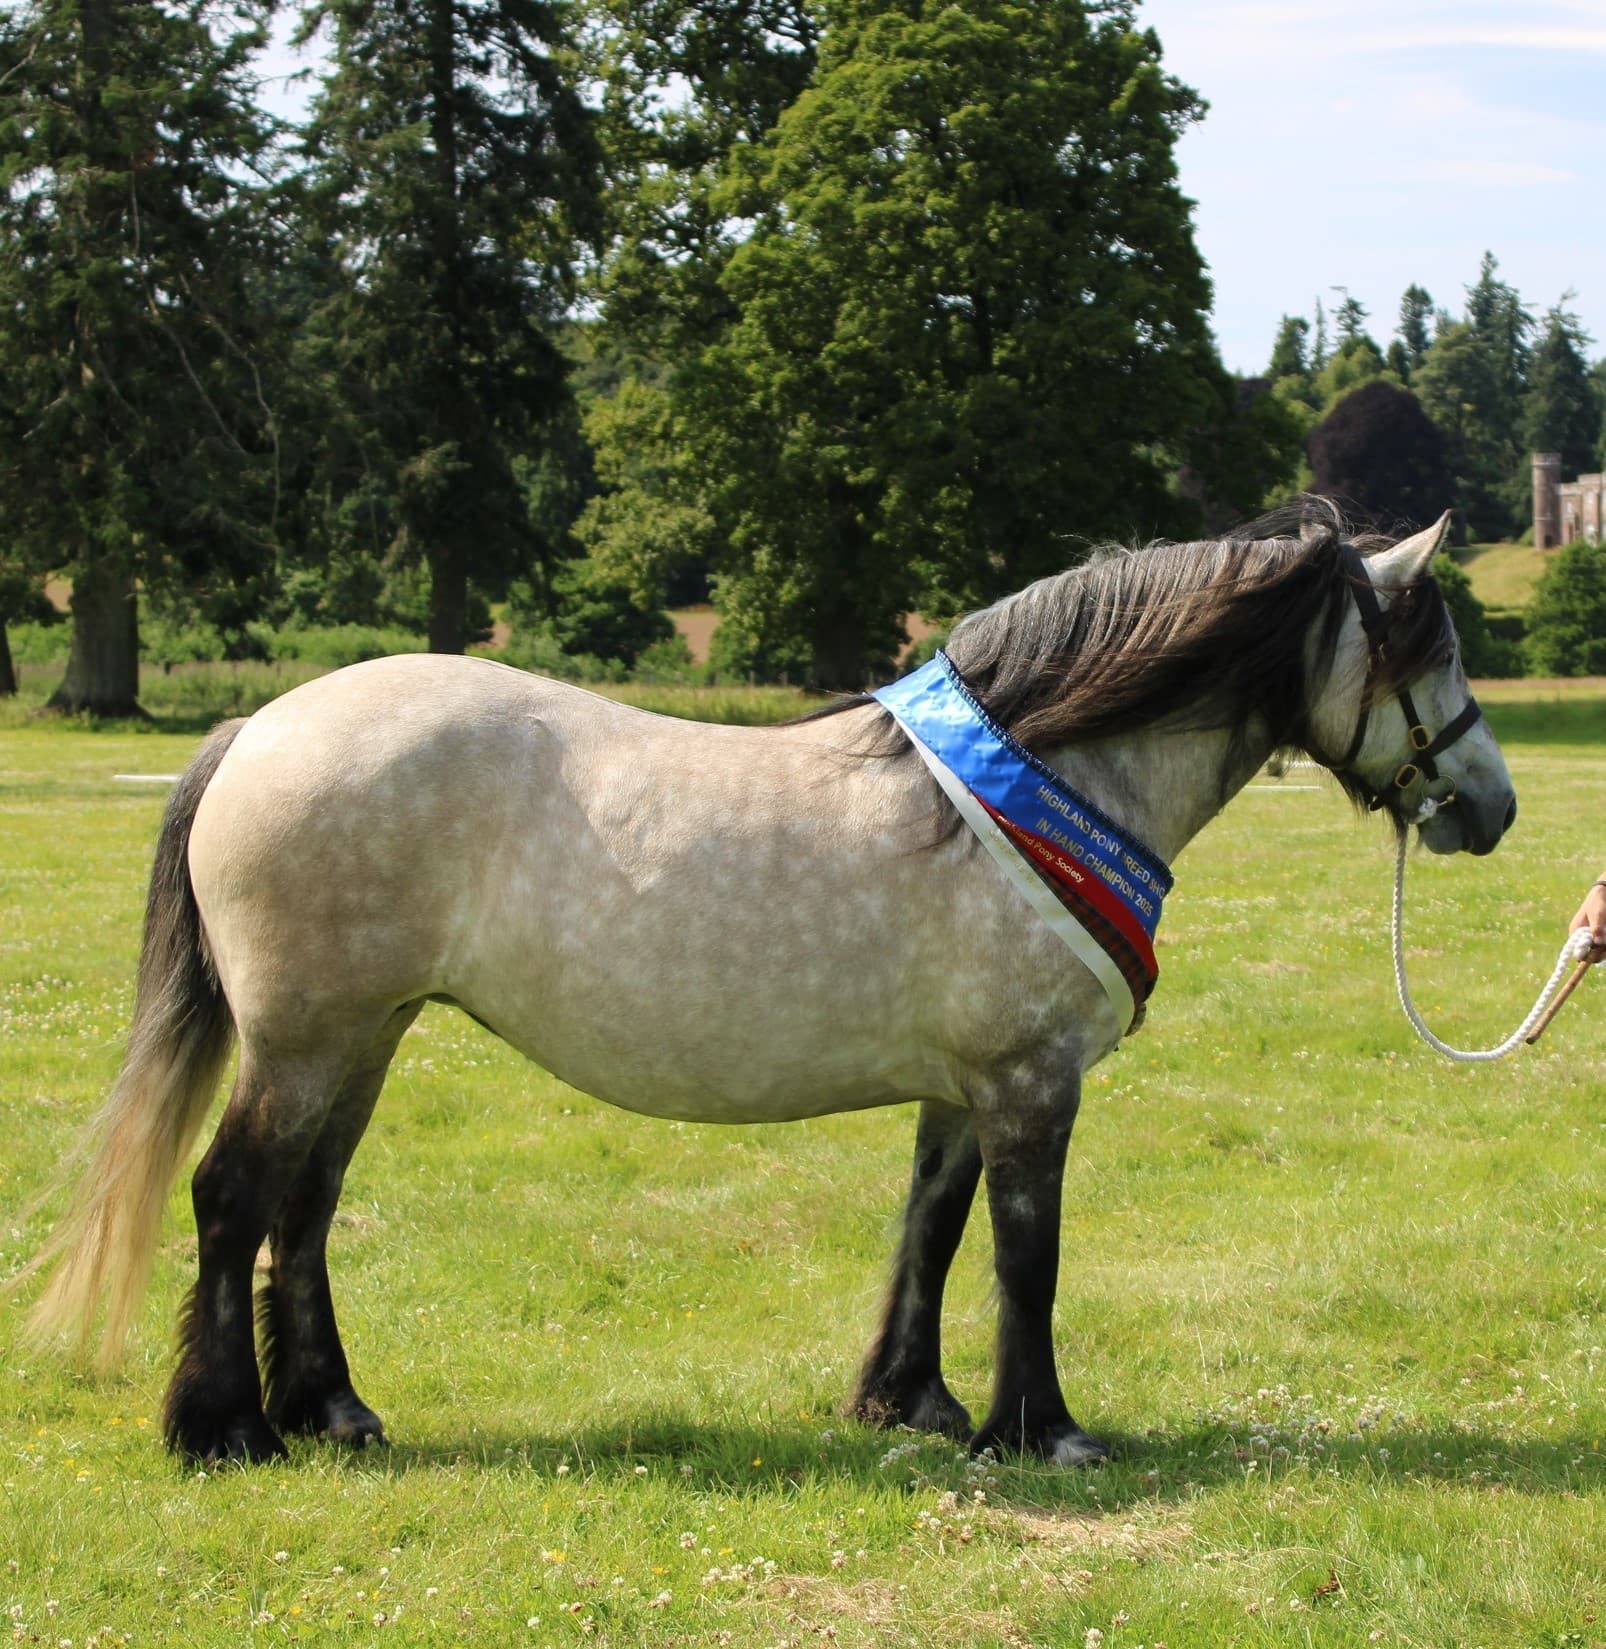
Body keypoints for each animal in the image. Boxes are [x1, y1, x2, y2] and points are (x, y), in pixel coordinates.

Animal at [23, 508, 1517, 1466]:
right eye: (1430, 649)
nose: (1489, 806)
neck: (1044, 779)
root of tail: (258, 725)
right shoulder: (1031, 1083)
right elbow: (1025, 1256)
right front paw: (1041, 1431)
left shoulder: (964, 1089)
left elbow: (930, 1229)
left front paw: (909, 1404)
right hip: (303, 1037)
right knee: (233, 1199)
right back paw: (221, 1426)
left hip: (363, 1036)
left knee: (305, 1208)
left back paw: (332, 1412)